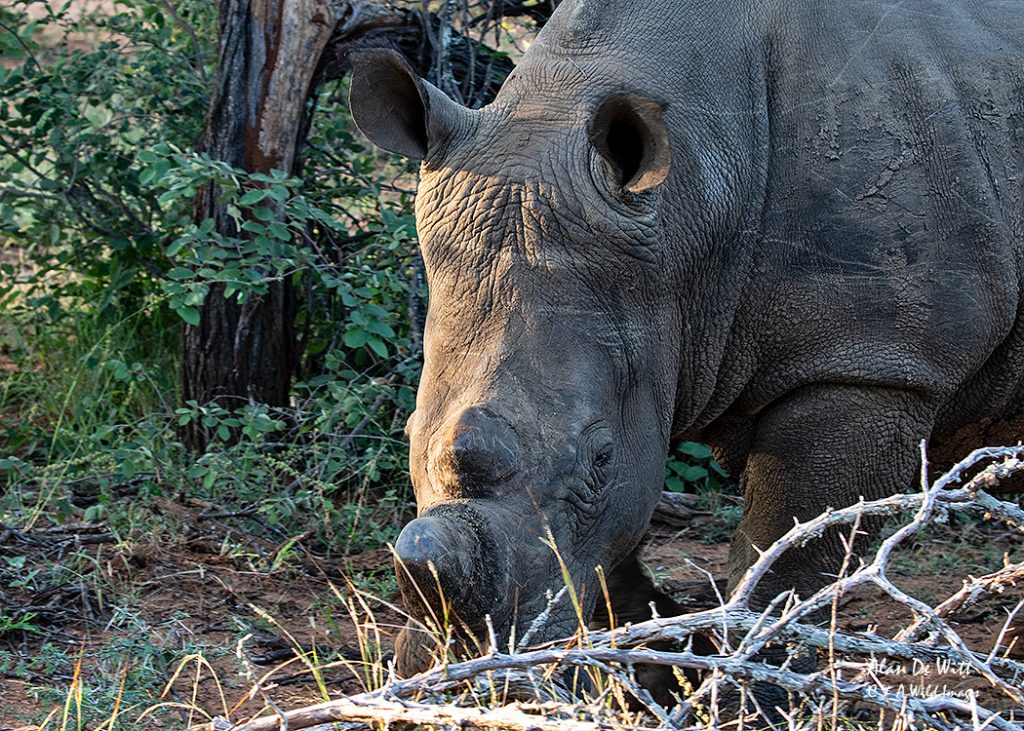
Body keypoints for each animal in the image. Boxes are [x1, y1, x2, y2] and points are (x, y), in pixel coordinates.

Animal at [348, 0, 1024, 679]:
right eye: (407, 433)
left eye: (598, 458)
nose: (458, 659)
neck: (692, 206)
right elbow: (618, 542)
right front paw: (658, 658)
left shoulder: (873, 365)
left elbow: (786, 555)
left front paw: (742, 678)